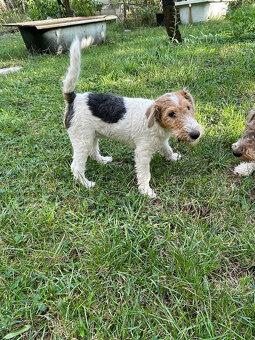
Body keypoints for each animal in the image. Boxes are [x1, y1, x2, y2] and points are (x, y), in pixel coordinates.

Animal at [62, 40, 203, 198]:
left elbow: (167, 149)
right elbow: (144, 174)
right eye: (171, 114)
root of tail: (74, 98)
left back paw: (103, 160)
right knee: (76, 166)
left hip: (91, 135)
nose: (195, 134)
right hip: (82, 139)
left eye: (188, 107)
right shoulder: (142, 153)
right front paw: (146, 191)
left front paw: (173, 157)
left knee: (93, 152)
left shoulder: (161, 141)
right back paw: (86, 184)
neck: (156, 122)